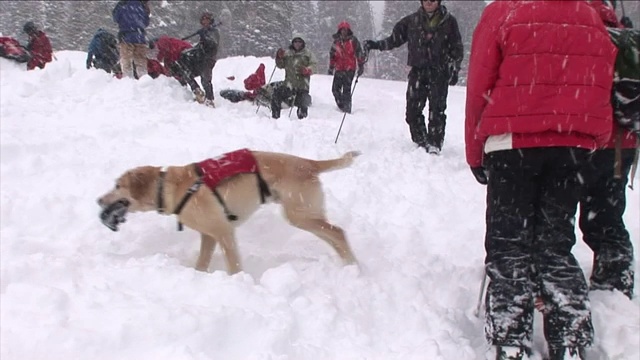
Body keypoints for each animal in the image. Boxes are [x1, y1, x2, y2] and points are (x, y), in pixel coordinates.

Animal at [98, 148, 362, 274]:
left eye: (117, 185)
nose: (98, 200)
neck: (170, 188)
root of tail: (310, 163)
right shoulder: (209, 235)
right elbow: (201, 263)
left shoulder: (223, 231)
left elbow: (234, 266)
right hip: (305, 215)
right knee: (334, 236)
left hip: (300, 214)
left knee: (338, 232)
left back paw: (355, 266)